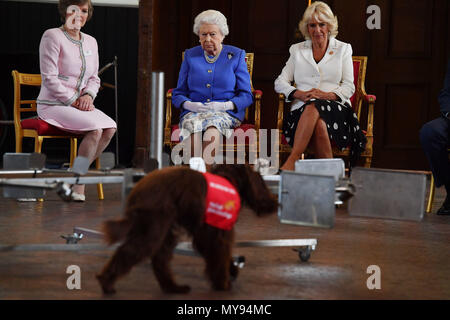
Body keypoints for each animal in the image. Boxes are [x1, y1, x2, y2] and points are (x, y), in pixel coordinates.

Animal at [96, 165, 278, 296]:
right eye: (262, 184)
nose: (275, 202)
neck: (230, 180)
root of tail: (136, 190)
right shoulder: (219, 234)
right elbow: (221, 255)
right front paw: (223, 282)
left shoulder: (204, 235)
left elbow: (219, 256)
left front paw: (231, 270)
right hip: (153, 229)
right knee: (129, 252)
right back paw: (106, 283)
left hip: (164, 230)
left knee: (159, 260)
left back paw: (173, 287)